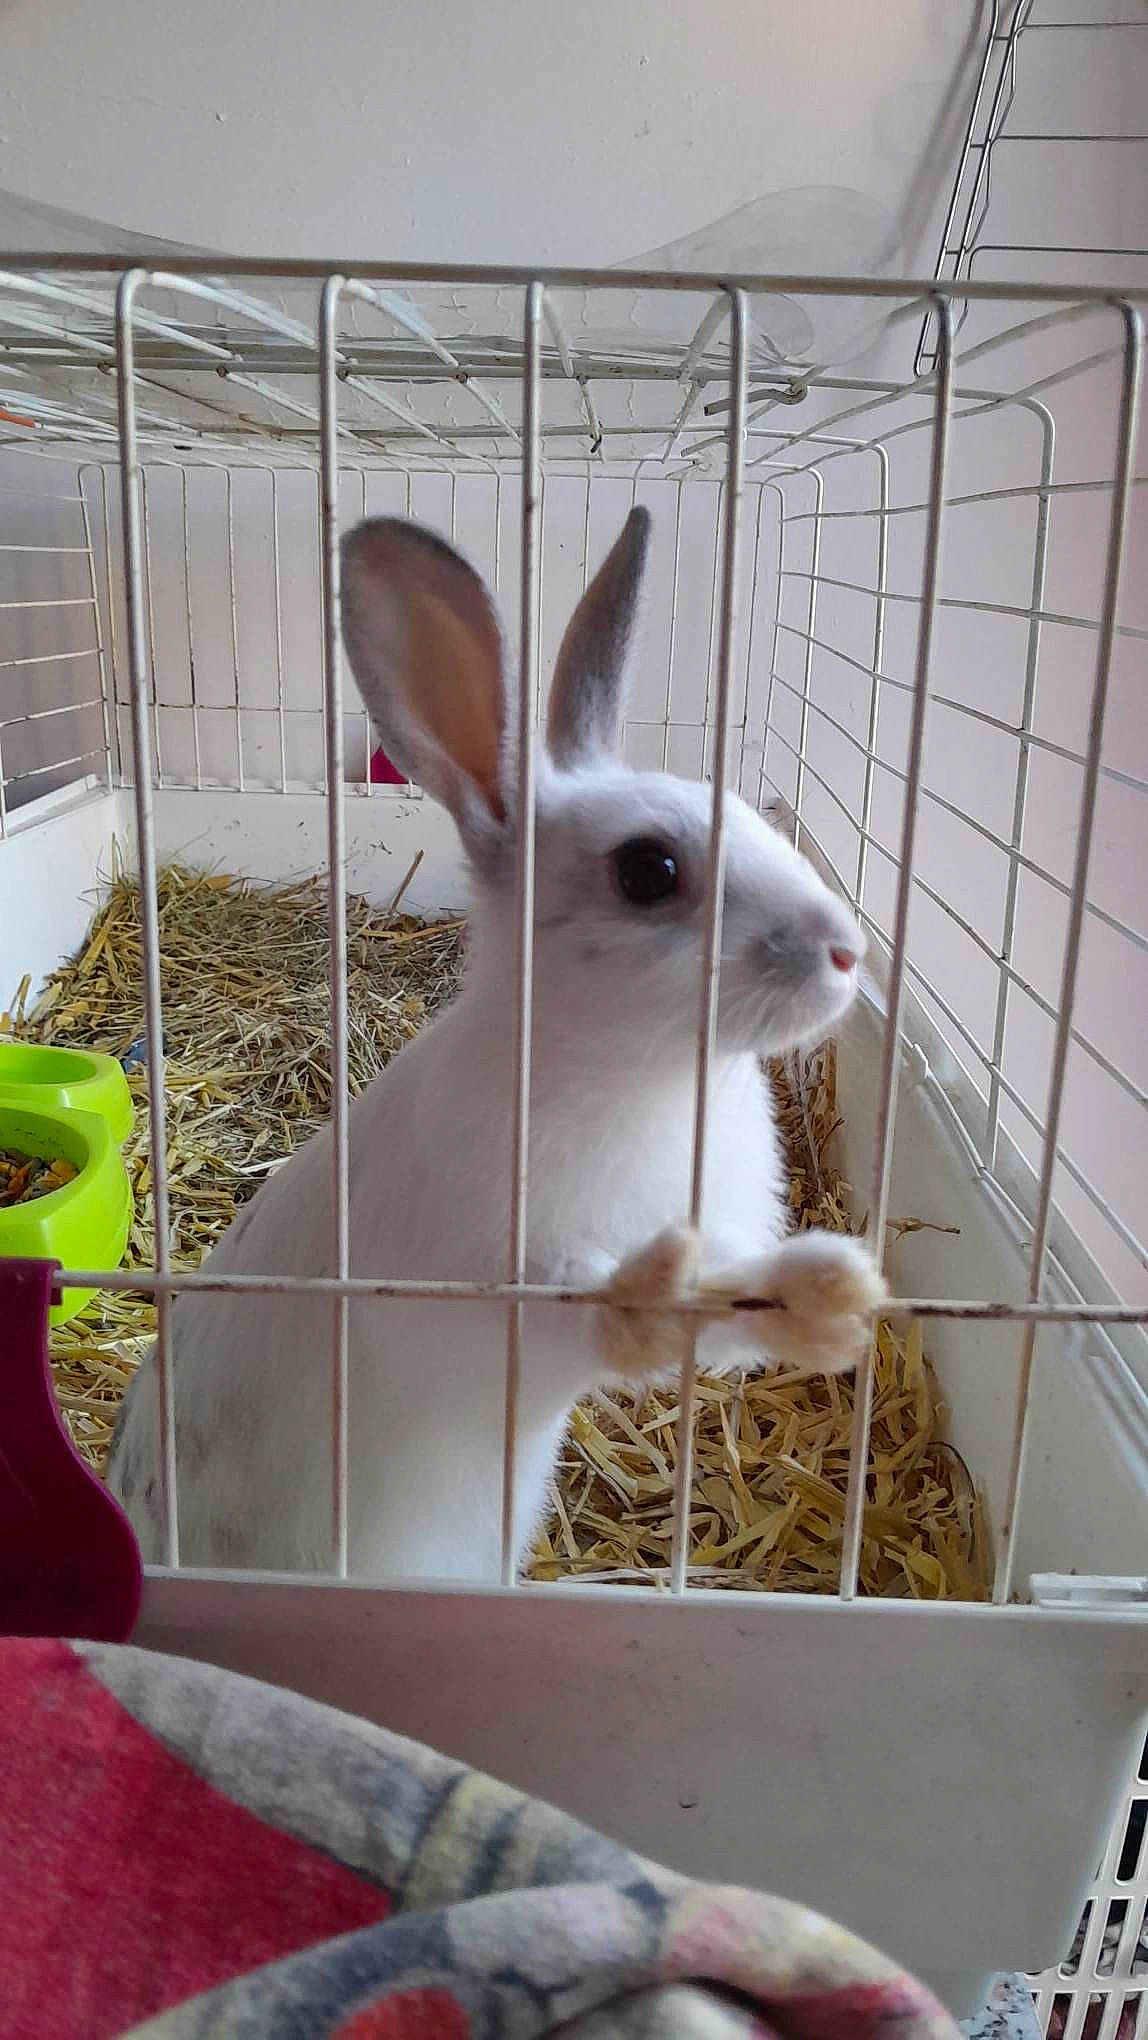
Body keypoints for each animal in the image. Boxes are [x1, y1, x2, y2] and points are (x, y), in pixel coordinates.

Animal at [107, 508, 885, 1582]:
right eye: (648, 871)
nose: (849, 951)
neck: (646, 1071)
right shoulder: (487, 1287)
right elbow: (598, 1310)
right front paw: (656, 1292)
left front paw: (831, 1299)